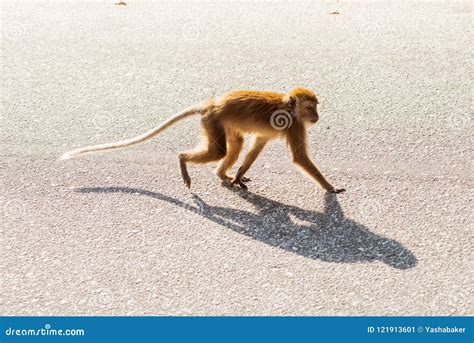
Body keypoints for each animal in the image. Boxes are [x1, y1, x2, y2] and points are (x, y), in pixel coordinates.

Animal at [61, 87, 344, 195]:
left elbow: (257, 145)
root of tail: (212, 104)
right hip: (213, 122)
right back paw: (183, 160)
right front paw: (330, 187)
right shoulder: (295, 125)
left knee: (234, 146)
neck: (289, 106)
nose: (317, 116)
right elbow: (300, 157)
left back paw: (223, 174)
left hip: (219, 123)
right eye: (310, 107)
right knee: (219, 151)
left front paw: (239, 173)